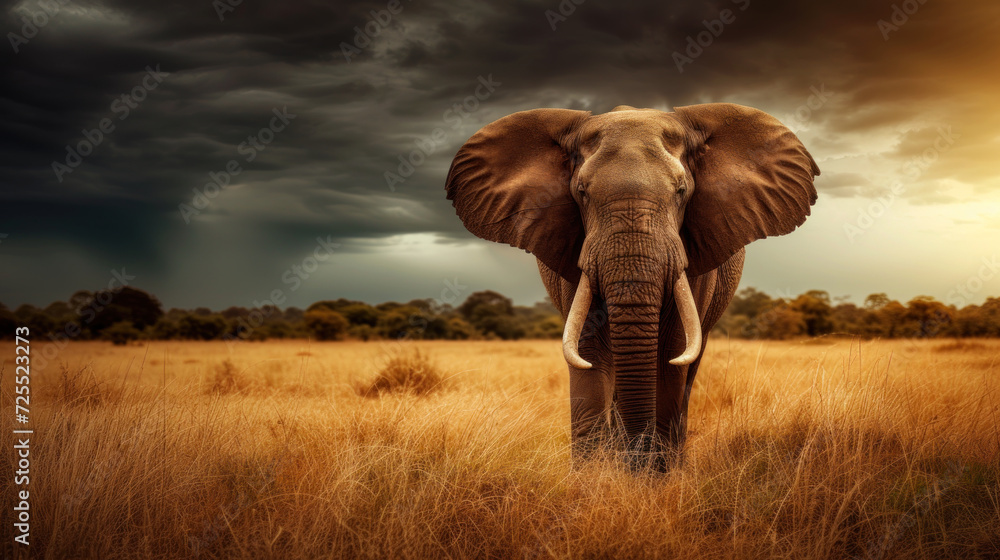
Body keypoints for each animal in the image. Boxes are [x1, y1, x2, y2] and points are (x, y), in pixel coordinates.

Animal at [445, 103, 819, 470]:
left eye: (681, 191)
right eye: (582, 192)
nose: (638, 460)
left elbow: (671, 355)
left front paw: (654, 477)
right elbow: (588, 353)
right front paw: (594, 478)